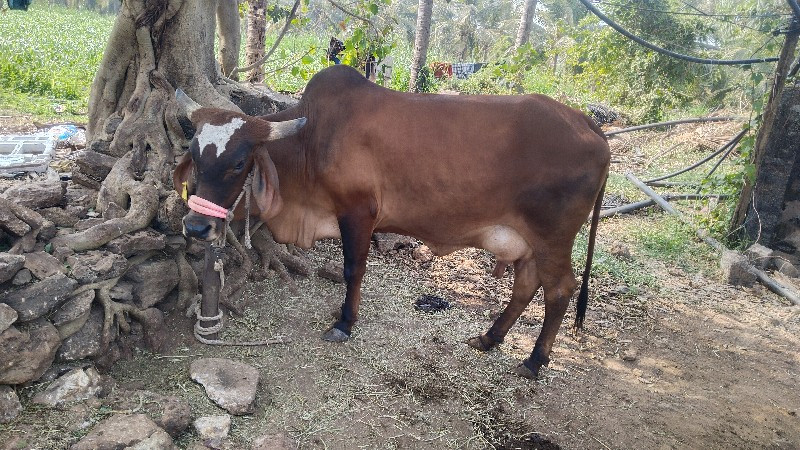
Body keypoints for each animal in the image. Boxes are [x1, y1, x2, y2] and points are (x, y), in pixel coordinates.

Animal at [175, 65, 608, 378]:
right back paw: (490, 338)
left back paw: (534, 361)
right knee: (526, 285)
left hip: (553, 237)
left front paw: (344, 323)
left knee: (559, 290)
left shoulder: (358, 213)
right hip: (528, 241)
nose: (195, 227)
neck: (312, 139)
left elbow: (353, 270)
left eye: (238, 163)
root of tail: (586, 122)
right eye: (194, 154)